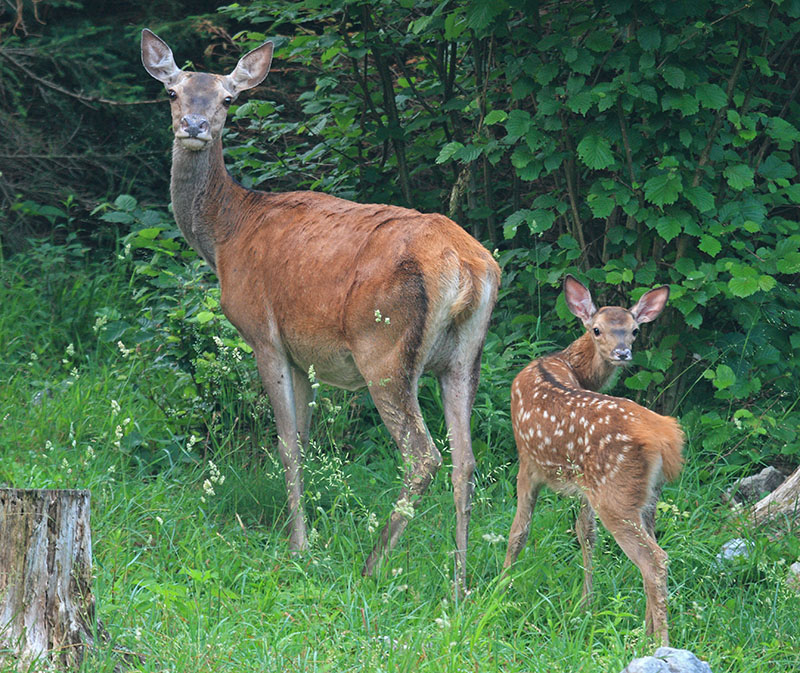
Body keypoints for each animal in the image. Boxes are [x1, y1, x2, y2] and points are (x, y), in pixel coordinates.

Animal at [139, 30, 500, 588]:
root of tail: (467, 266)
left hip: (384, 348)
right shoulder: (303, 353)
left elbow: (287, 444)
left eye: (227, 98)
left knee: (424, 456)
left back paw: (374, 564)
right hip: (464, 356)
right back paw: (459, 582)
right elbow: (306, 442)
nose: (194, 127)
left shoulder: (264, 335)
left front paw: (298, 546)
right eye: (173, 92)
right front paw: (301, 535)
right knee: (465, 458)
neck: (224, 237)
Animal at [506, 276, 680, 644]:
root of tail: (664, 436)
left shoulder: (527, 462)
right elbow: (585, 531)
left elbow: (519, 531)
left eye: (634, 330)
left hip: (616, 495)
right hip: (644, 497)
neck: (565, 363)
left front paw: (500, 591)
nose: (623, 352)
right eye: (597, 329)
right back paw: (645, 631)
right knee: (653, 549)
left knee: (655, 560)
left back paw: (659, 641)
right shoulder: (584, 484)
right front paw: (586, 602)